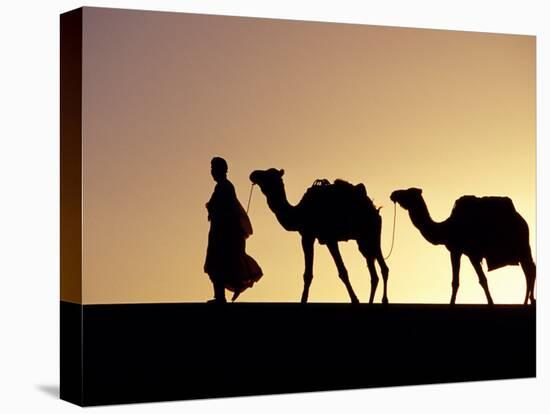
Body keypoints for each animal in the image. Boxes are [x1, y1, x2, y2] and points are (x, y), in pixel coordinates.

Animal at [250, 168, 388, 304]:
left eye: (268, 175)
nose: (253, 174)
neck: (299, 213)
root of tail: (374, 209)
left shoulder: (315, 237)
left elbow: (338, 272)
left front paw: (355, 300)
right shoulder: (318, 238)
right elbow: (316, 273)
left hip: (372, 233)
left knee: (383, 267)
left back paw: (384, 300)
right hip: (363, 240)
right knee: (374, 272)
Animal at [392, 188, 540, 304]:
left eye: (407, 192)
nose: (393, 194)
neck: (446, 228)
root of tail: (522, 220)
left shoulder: (467, 252)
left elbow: (479, 280)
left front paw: (490, 303)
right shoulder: (459, 252)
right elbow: (459, 281)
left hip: (522, 246)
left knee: (530, 270)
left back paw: (526, 302)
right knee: (530, 269)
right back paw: (528, 301)